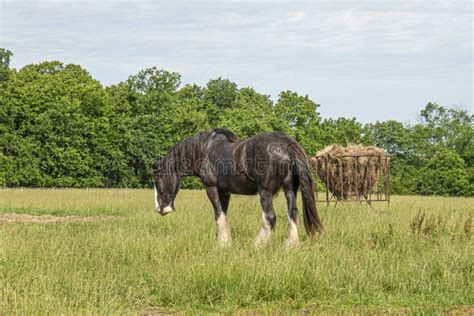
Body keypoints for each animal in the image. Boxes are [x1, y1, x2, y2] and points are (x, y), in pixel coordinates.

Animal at [154, 128, 324, 247]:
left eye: (158, 178)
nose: (161, 209)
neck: (204, 150)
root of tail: (286, 144)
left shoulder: (212, 188)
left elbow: (218, 216)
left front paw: (223, 244)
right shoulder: (225, 193)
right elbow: (223, 215)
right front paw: (224, 241)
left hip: (266, 192)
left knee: (270, 217)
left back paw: (257, 244)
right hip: (290, 189)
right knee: (293, 213)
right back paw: (291, 245)